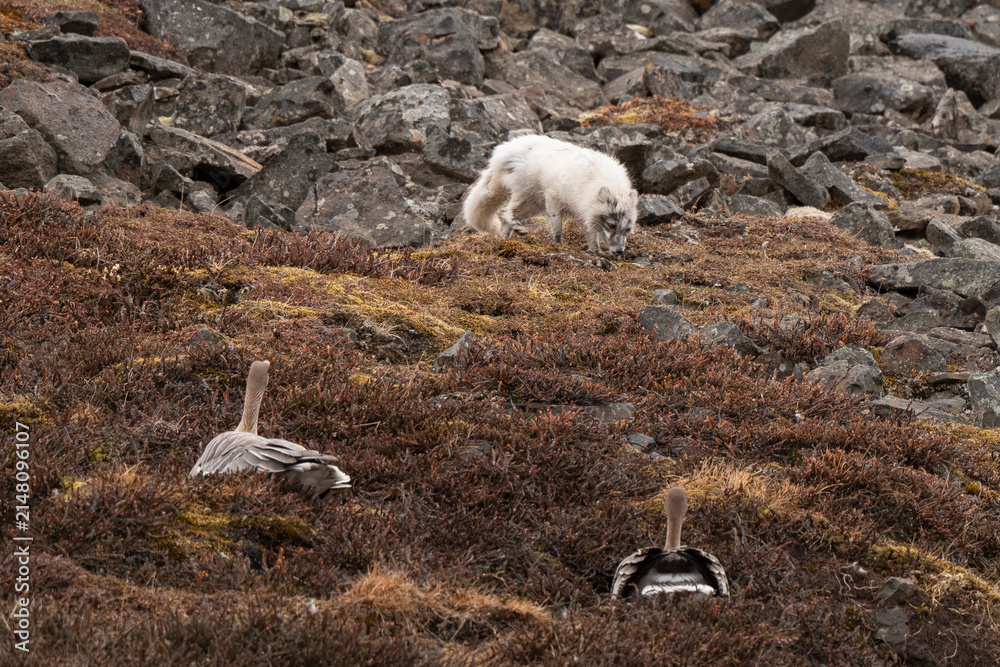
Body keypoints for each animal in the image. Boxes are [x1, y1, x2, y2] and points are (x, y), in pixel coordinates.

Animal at [462, 134, 639, 255]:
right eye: (611, 225)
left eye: (627, 229)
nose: (619, 251)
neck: (593, 180)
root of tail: (502, 152)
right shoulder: (554, 197)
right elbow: (557, 228)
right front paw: (557, 246)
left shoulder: (585, 211)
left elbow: (591, 235)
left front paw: (595, 252)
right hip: (525, 194)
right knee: (506, 212)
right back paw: (517, 229)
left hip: (532, 204)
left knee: (506, 218)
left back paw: (504, 241)